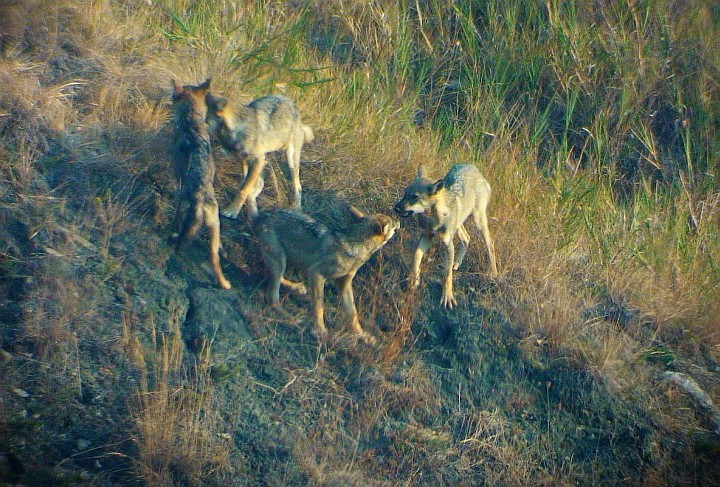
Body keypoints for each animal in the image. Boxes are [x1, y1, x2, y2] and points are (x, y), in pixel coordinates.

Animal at [169, 77, 231, 290]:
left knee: (179, 229)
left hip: (183, 205)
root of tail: (202, 201)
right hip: (215, 231)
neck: (192, 119)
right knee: (215, 258)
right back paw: (223, 283)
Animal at [204, 91, 314, 219]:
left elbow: (243, 189)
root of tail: (291, 102)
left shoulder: (257, 160)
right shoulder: (245, 160)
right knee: (260, 184)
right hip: (264, 161)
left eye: (202, 118)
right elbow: (246, 187)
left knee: (298, 186)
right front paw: (252, 213)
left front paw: (232, 211)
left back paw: (295, 209)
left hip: (290, 159)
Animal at [253, 206, 400, 344]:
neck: (355, 249)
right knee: (272, 299)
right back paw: (292, 318)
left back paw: (296, 287)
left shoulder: (344, 284)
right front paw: (320, 331)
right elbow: (319, 307)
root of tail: (261, 214)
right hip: (279, 262)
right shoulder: (316, 273)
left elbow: (353, 314)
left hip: (282, 262)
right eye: (391, 222)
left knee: (279, 281)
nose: (398, 220)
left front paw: (362, 335)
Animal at [390, 164, 498, 308]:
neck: (432, 218)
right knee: (466, 238)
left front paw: (447, 296)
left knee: (490, 244)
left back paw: (493, 272)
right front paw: (414, 280)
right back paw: (456, 264)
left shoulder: (448, 244)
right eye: (405, 193)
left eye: (414, 197)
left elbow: (447, 276)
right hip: (458, 224)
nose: (395, 208)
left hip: (478, 222)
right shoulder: (426, 236)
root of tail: (474, 168)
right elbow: (416, 257)